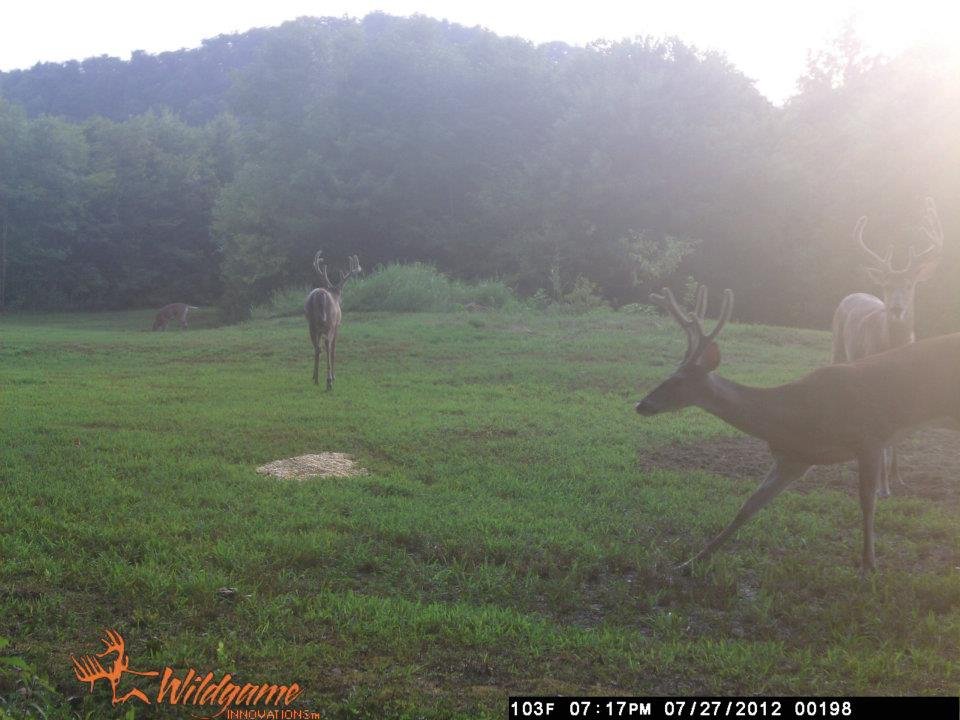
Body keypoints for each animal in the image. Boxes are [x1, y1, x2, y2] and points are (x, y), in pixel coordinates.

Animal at [304, 251, 361, 390]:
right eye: (341, 292)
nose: (341, 300)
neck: (334, 294)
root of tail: (320, 295)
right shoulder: (337, 326)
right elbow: (334, 349)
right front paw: (334, 376)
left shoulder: (320, 329)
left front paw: (314, 375)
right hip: (329, 323)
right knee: (327, 344)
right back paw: (329, 381)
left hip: (312, 324)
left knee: (317, 347)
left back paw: (316, 379)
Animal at [635, 284, 960, 572]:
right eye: (669, 374)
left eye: (678, 381)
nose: (641, 404)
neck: (795, 414)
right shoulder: (794, 458)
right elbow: (748, 506)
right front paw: (691, 561)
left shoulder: (870, 437)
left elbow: (867, 502)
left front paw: (868, 565)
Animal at [832, 198, 945, 497]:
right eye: (885, 285)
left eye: (910, 284)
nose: (896, 308)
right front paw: (882, 487)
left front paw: (897, 477)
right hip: (838, 348)